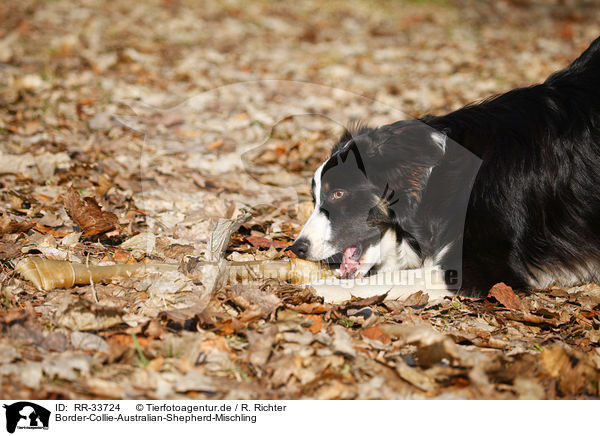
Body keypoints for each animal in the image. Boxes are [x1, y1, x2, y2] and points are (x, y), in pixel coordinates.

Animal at [288, 36, 600, 300]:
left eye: (339, 194)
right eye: (315, 198)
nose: (297, 248)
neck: (435, 176)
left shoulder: (486, 266)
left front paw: (316, 287)